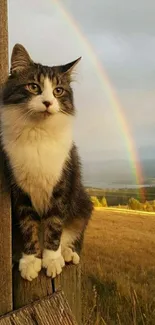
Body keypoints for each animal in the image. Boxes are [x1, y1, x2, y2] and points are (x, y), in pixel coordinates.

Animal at [0, 43, 92, 280]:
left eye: (58, 90)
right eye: (34, 87)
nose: (48, 102)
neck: (38, 132)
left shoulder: (61, 186)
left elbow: (54, 225)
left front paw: (51, 260)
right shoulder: (19, 190)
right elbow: (28, 226)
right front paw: (31, 260)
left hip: (82, 204)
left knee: (72, 234)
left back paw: (68, 253)